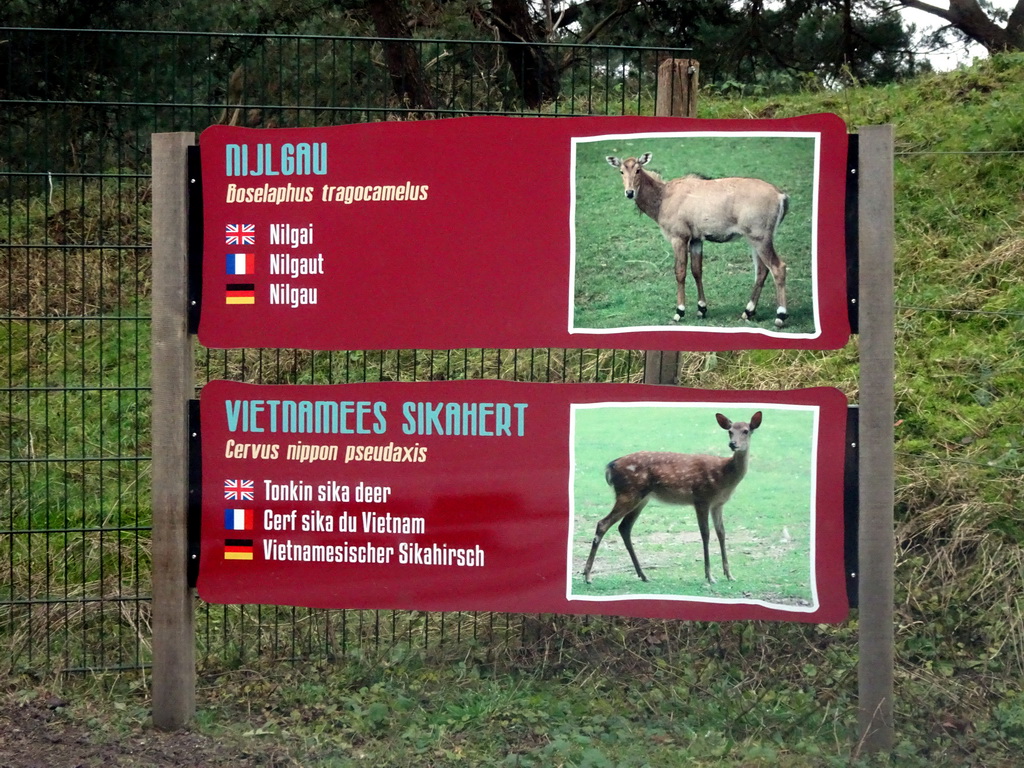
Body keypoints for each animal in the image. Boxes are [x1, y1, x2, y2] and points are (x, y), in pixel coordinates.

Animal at [585, 411, 761, 585]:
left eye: (746, 430)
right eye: (730, 431)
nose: (733, 444)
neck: (724, 476)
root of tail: (610, 467)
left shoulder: (718, 504)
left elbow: (721, 533)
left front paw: (729, 575)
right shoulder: (701, 498)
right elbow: (705, 534)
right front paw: (710, 577)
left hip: (641, 498)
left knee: (624, 527)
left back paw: (643, 575)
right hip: (628, 493)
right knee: (603, 523)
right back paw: (587, 576)